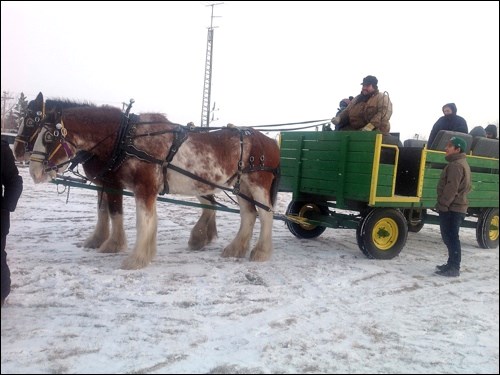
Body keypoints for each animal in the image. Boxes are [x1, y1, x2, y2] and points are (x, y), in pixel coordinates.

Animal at [30, 104, 282, 268]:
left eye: (49, 137)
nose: (34, 172)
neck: (128, 138)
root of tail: (270, 141)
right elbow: (143, 220)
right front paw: (143, 253)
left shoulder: (143, 187)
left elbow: (143, 222)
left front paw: (136, 258)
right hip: (241, 187)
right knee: (249, 215)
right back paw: (235, 249)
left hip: (258, 185)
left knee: (266, 215)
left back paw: (261, 252)